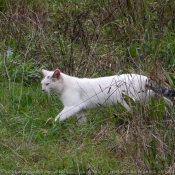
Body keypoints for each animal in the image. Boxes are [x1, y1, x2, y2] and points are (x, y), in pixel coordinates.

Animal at [41, 69, 175, 122]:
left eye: (47, 84)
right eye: (41, 84)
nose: (42, 90)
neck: (65, 87)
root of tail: (144, 77)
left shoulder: (72, 107)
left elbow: (59, 117)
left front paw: (52, 124)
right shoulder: (80, 109)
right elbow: (82, 121)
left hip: (132, 101)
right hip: (143, 96)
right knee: (157, 95)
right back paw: (170, 105)